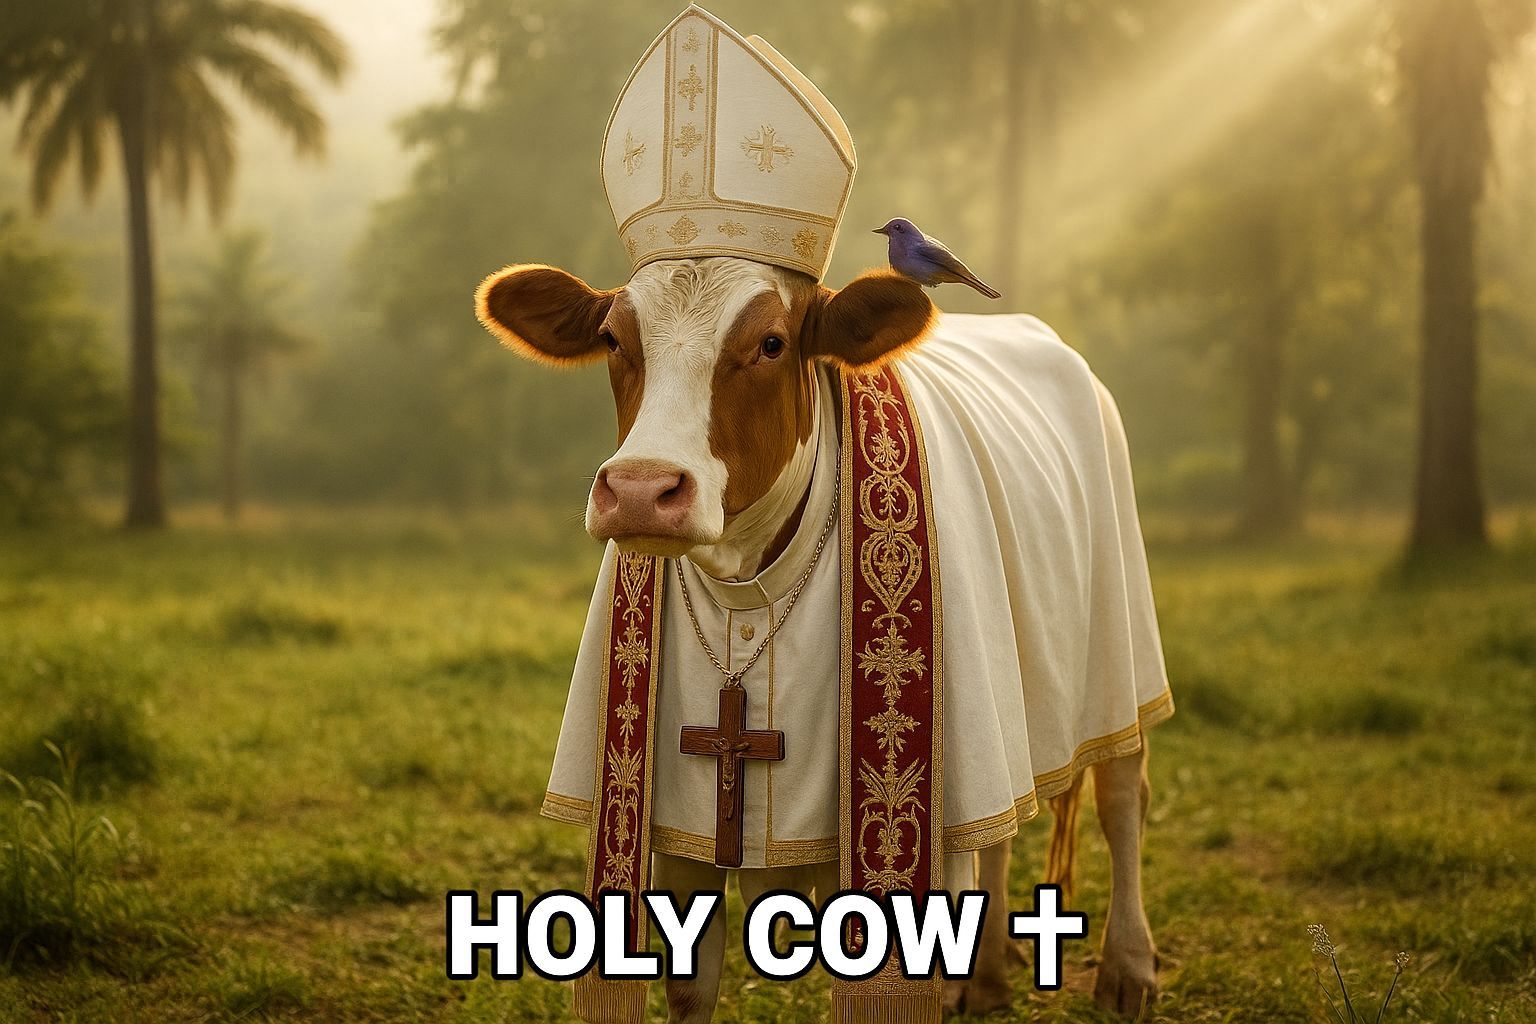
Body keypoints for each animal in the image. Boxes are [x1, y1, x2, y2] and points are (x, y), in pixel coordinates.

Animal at [476, 255, 1165, 1021]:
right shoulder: (673, 826)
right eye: (613, 339)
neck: (746, 586)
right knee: (1001, 827)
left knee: (1121, 797)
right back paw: (984, 978)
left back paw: (1128, 967)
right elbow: (689, 987)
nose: (639, 492)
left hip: (1121, 644)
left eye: (771, 344)